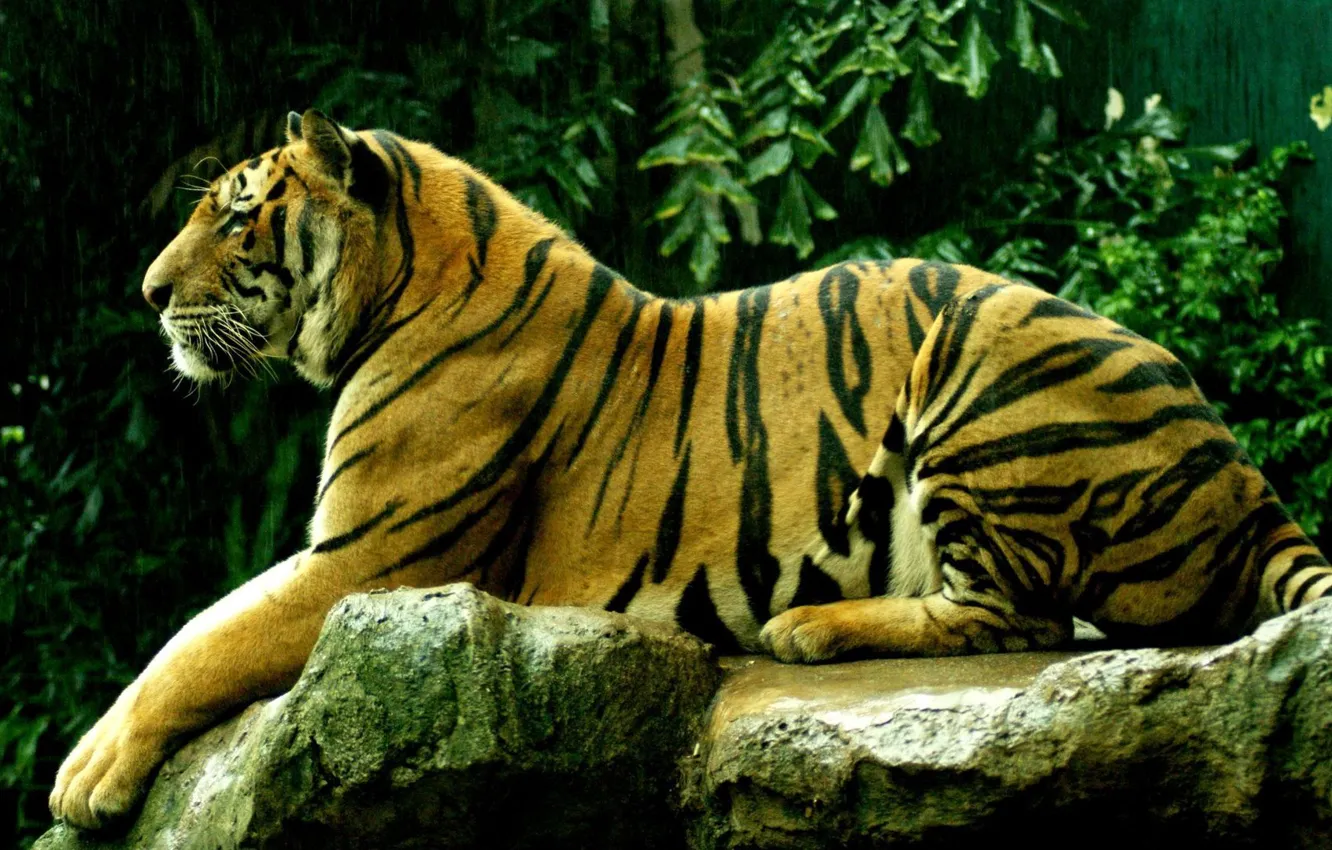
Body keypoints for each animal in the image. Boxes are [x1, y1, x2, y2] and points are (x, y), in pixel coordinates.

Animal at [50, 109, 1331, 830]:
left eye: (237, 217)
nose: (148, 294)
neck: (395, 287)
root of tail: (1243, 471)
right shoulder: (347, 556)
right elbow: (198, 628)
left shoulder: (366, 562)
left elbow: (197, 640)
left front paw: (85, 774)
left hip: (982, 355)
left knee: (1022, 620)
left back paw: (810, 628)